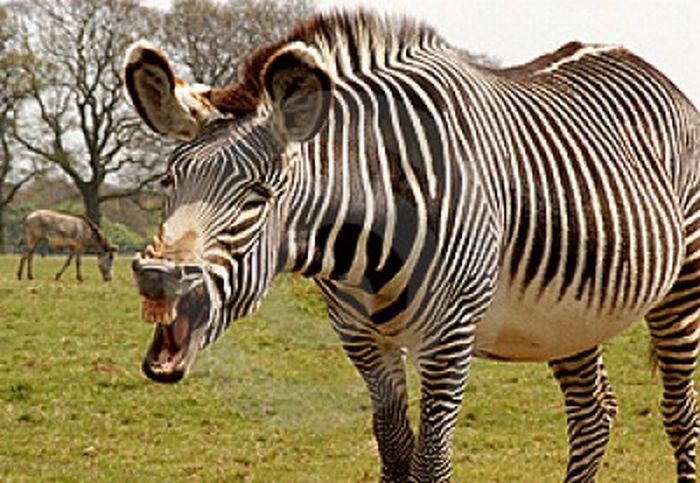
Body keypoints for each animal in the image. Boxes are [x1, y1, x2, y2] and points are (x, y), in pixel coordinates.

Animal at [123, 11, 700, 483]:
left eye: (257, 196)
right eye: (169, 181)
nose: (158, 276)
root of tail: (635, 57)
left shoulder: (449, 337)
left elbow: (430, 463)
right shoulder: (360, 338)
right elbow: (396, 452)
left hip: (683, 284)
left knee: (680, 413)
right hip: (568, 313)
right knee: (592, 414)